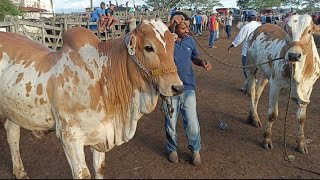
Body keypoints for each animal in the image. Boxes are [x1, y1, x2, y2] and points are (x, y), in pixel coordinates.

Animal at [0, 19, 184, 179]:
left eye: (173, 46)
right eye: (149, 47)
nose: (177, 87)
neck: (102, 77)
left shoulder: (101, 134)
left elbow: (99, 168)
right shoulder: (70, 138)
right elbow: (83, 174)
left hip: (13, 111)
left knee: (12, 134)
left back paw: (20, 171)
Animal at [245, 14, 320, 154]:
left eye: (309, 31)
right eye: (287, 30)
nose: (294, 55)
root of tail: (259, 27)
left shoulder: (308, 88)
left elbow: (301, 117)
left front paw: (301, 143)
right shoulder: (276, 84)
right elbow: (272, 114)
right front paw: (267, 139)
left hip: (266, 73)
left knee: (258, 91)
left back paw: (252, 116)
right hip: (251, 66)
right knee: (251, 92)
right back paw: (255, 117)